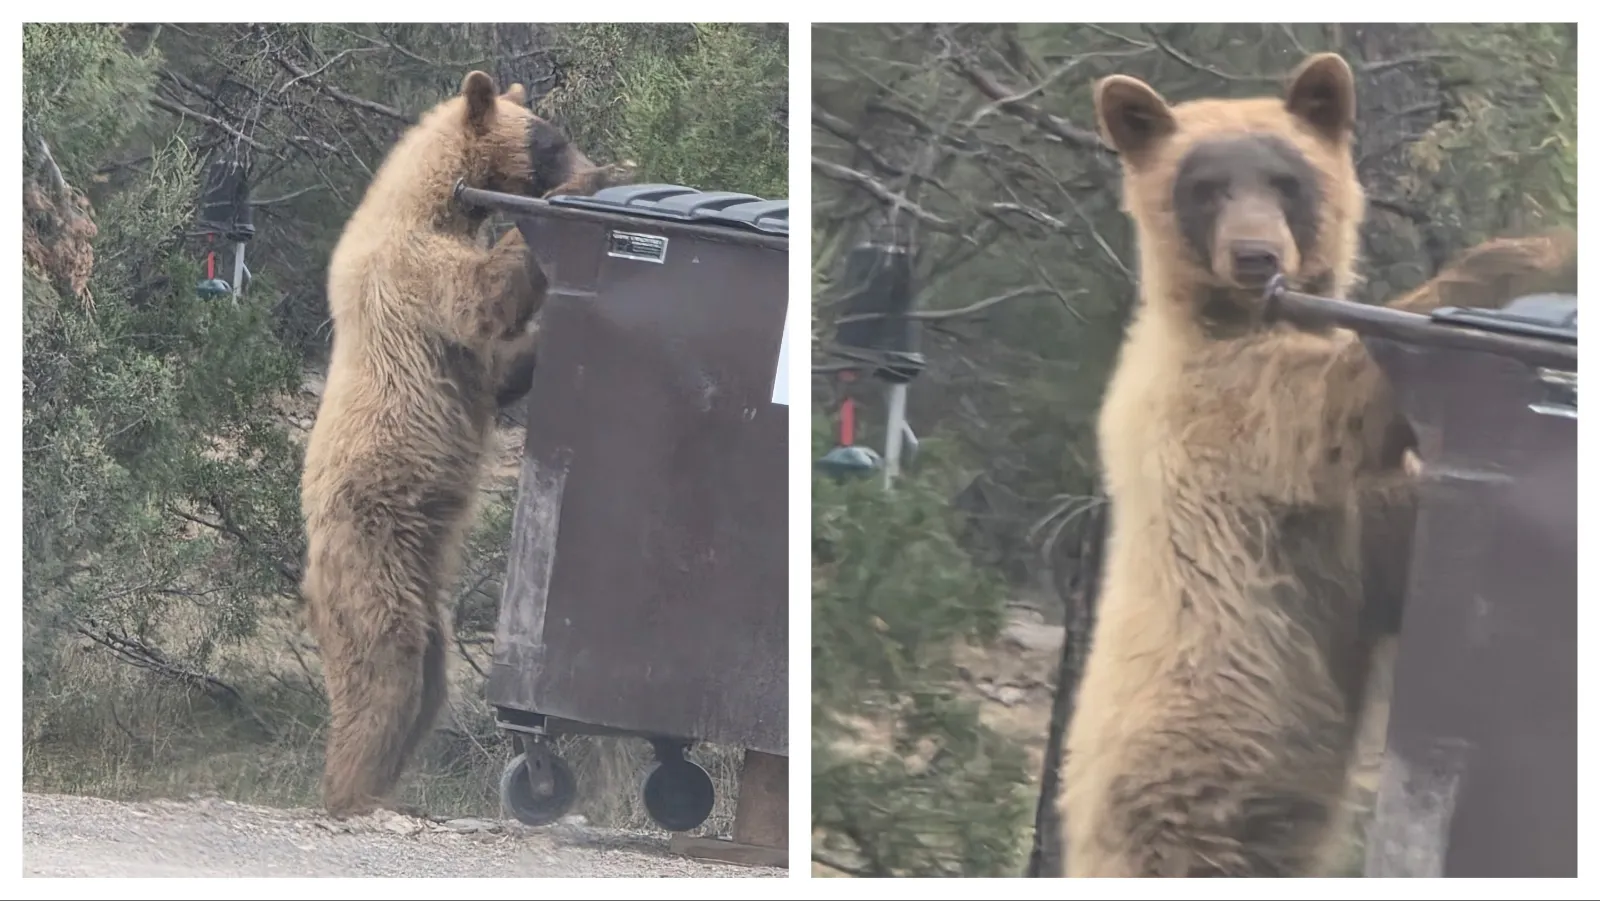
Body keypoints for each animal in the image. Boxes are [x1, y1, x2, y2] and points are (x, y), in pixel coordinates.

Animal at [299, 70, 616, 819]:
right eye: (551, 140)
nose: (587, 159)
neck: (434, 205)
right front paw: (586, 190)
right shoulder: (414, 280)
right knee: (383, 671)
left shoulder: (464, 348)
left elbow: (500, 364)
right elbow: (481, 296)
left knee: (429, 679)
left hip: (419, 586)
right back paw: (354, 790)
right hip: (371, 556)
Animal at [1060, 51, 1575, 877]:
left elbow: (1400, 543)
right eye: (1206, 186)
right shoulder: (1218, 411)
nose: (1256, 256)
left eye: (1284, 180)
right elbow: (1332, 400)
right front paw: (1535, 253)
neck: (1232, 319)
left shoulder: (1362, 534)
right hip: (1177, 789)